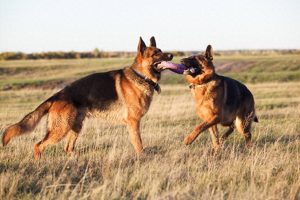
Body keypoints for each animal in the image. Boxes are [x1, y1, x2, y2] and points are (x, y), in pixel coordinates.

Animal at [1, 36, 173, 159]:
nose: (172, 55)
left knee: (67, 148)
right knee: (38, 145)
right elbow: (138, 143)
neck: (141, 76)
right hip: (61, 129)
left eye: (161, 50)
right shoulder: (133, 122)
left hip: (76, 126)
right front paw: (142, 157)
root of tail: (57, 96)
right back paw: (39, 163)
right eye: (156, 54)